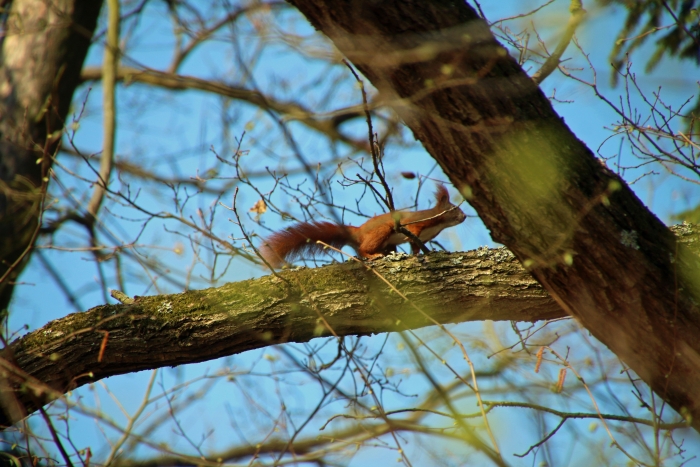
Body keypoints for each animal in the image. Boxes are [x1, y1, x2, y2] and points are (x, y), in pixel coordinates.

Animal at [260, 184, 466, 268]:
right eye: (454, 208)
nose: (465, 216)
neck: (439, 224)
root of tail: (357, 233)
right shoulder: (417, 223)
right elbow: (413, 234)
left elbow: (415, 246)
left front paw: (418, 254)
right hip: (381, 232)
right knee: (363, 249)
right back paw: (372, 255)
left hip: (388, 243)